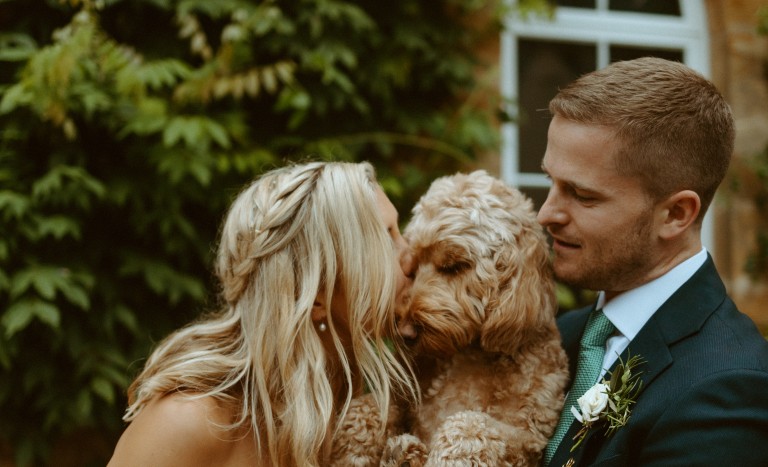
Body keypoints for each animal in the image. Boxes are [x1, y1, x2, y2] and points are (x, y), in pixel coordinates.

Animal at [332, 172, 568, 467]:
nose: (405, 333)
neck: (469, 352)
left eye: (453, 266)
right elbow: (366, 408)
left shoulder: (528, 437)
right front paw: (352, 451)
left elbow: (468, 424)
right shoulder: (401, 394)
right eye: (412, 268)